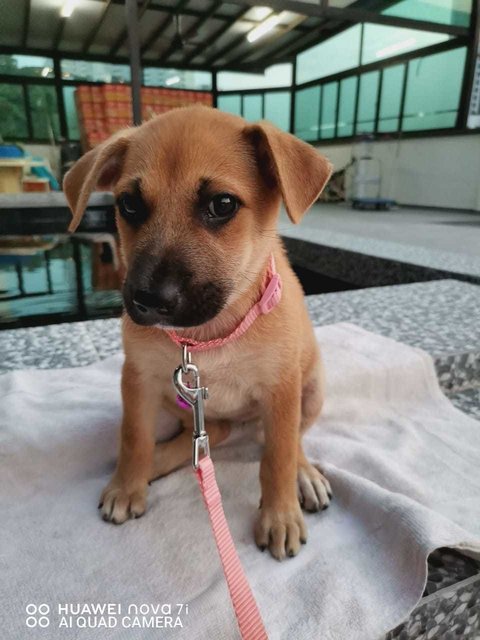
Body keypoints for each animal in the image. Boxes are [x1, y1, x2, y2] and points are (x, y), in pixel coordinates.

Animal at [62, 106, 334, 560]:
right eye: (129, 204)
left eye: (222, 204)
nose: (149, 299)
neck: (207, 336)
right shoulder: (138, 378)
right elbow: (133, 436)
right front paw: (127, 485)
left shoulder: (281, 388)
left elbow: (277, 456)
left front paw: (279, 515)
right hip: (175, 400)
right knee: (213, 431)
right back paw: (158, 460)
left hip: (310, 390)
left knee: (291, 438)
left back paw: (305, 475)